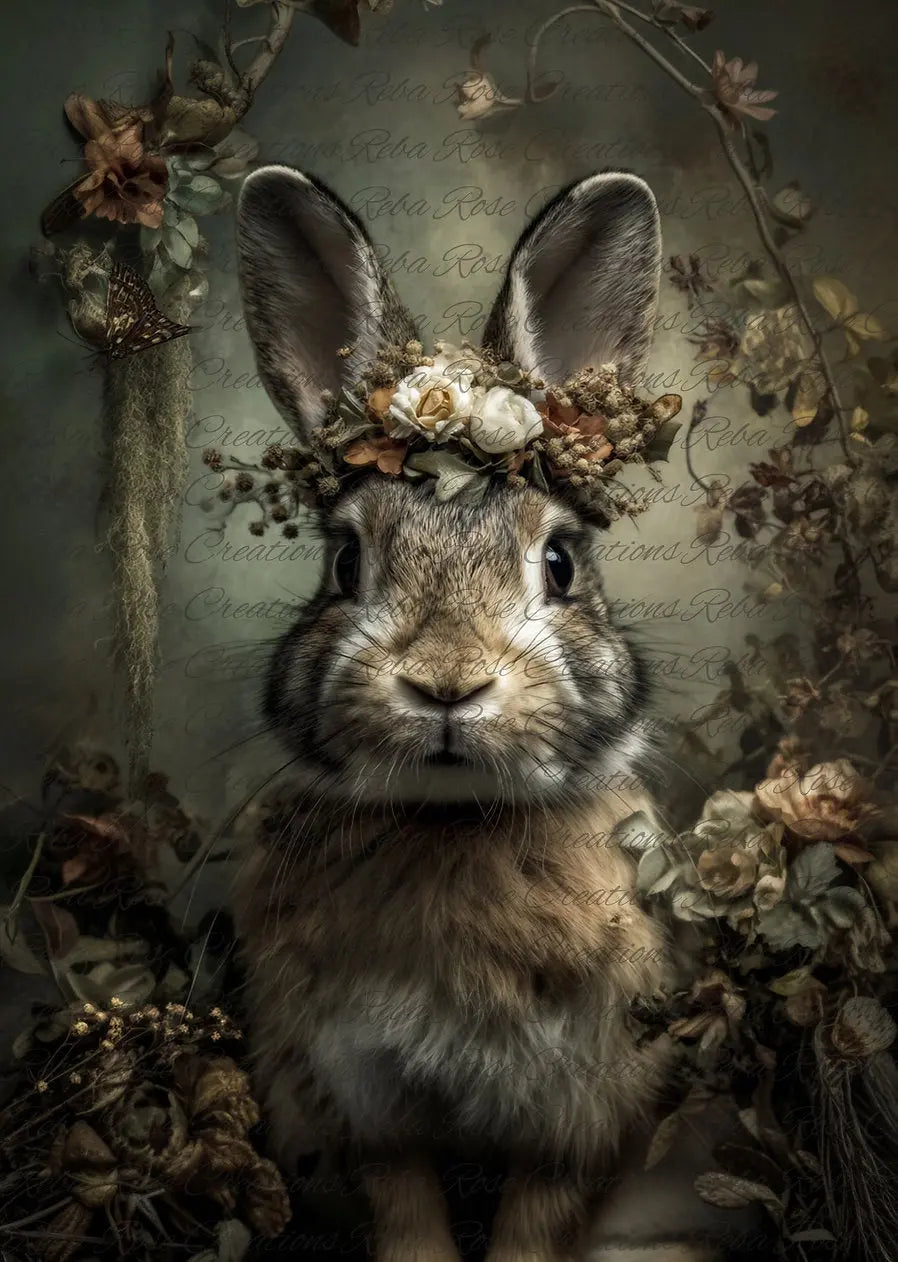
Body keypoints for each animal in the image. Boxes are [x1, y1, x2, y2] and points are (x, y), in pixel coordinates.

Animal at [231, 166, 728, 1262]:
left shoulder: (583, 1107)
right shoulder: (361, 1098)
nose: (448, 683)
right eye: (344, 562)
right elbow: (405, 1207)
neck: (454, 825)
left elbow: (536, 1219)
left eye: (561, 563)